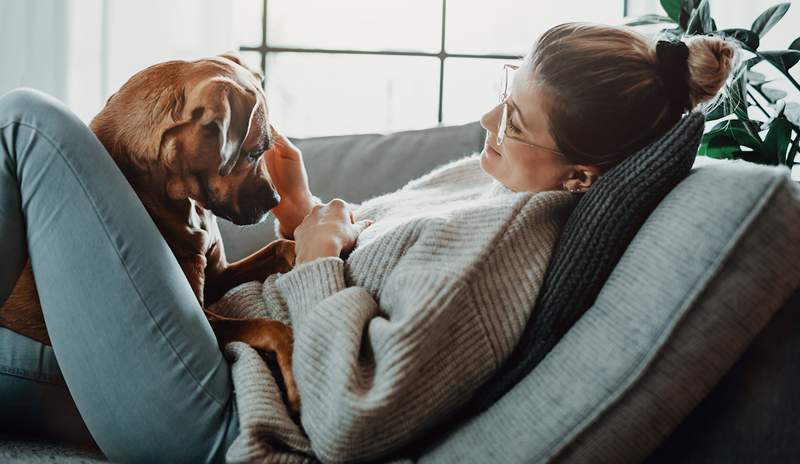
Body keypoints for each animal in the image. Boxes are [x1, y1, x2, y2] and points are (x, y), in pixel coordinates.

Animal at [0, 54, 300, 414]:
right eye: (255, 152)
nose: (276, 200)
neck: (180, 197)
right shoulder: (204, 318)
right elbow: (269, 326)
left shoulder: (217, 276)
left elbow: (278, 246)